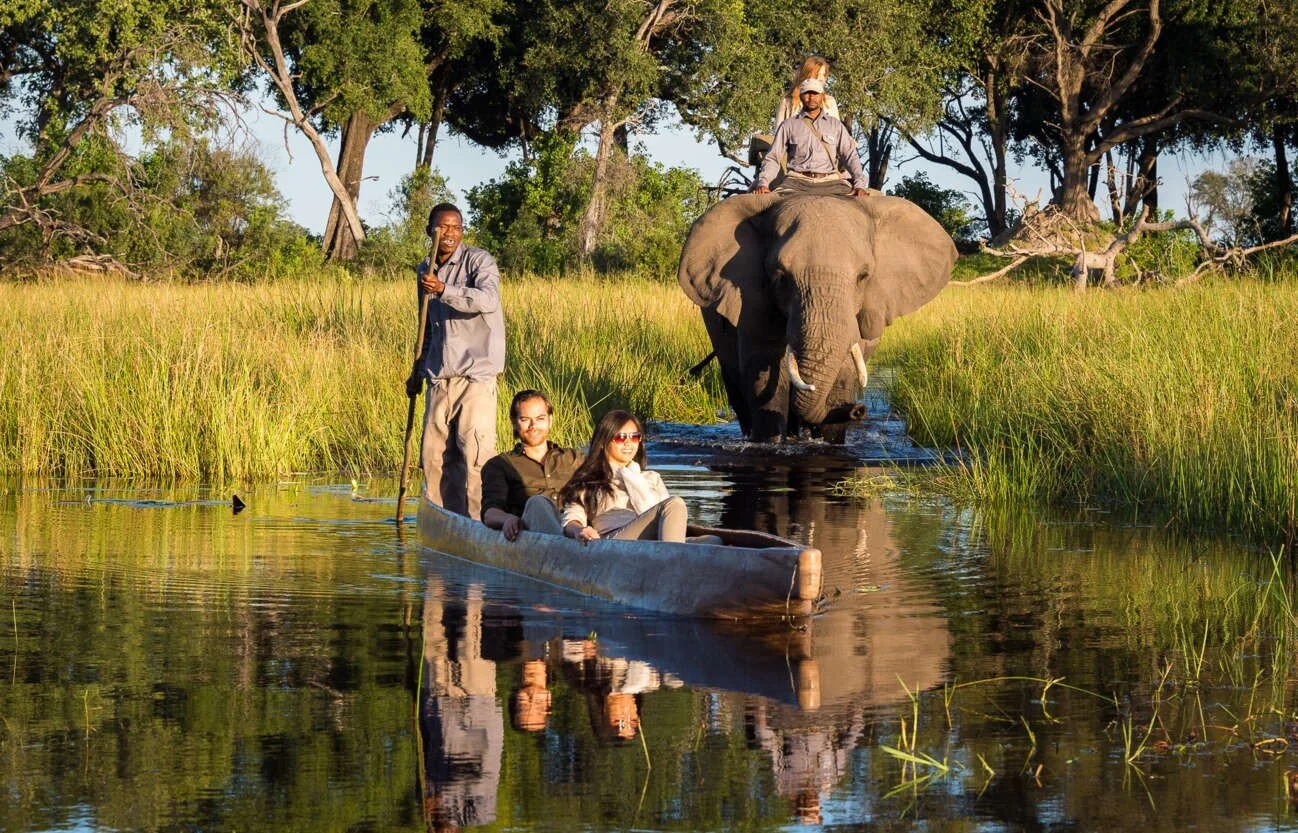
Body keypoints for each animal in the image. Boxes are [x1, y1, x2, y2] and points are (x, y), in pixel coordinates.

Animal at [677, 192, 957, 443]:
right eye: (780, 277)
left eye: (863, 277)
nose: (859, 410)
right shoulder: (752, 299)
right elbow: (762, 368)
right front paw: (771, 444)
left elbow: (844, 372)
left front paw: (828, 440)